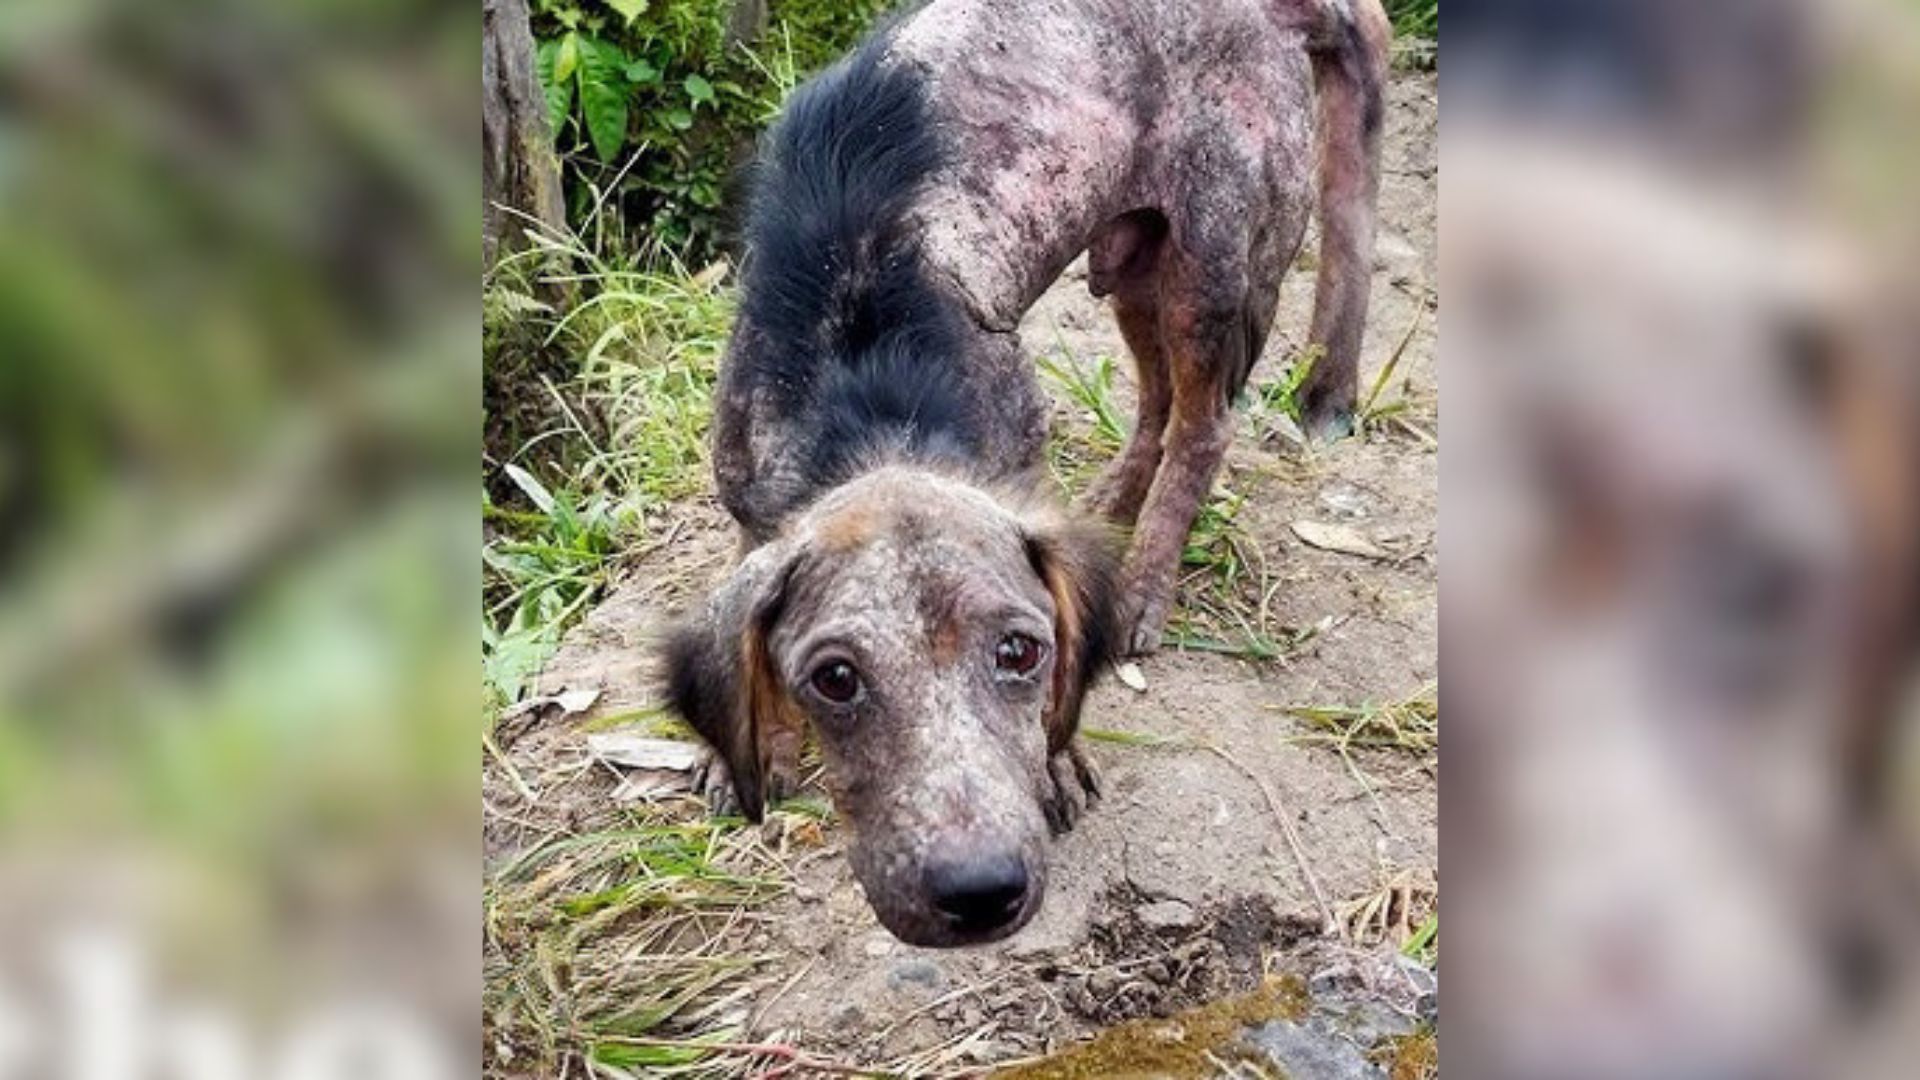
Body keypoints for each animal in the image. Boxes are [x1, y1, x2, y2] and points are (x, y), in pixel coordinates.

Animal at [656, 0, 1382, 941]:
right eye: (834, 680)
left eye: (1017, 653)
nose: (975, 890)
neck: (868, 383)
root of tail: (1282, 10)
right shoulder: (751, 498)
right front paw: (739, 751)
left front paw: (1061, 761)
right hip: (1133, 254)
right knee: (1155, 402)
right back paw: (1109, 506)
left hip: (1214, 258)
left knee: (1203, 422)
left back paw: (1143, 586)